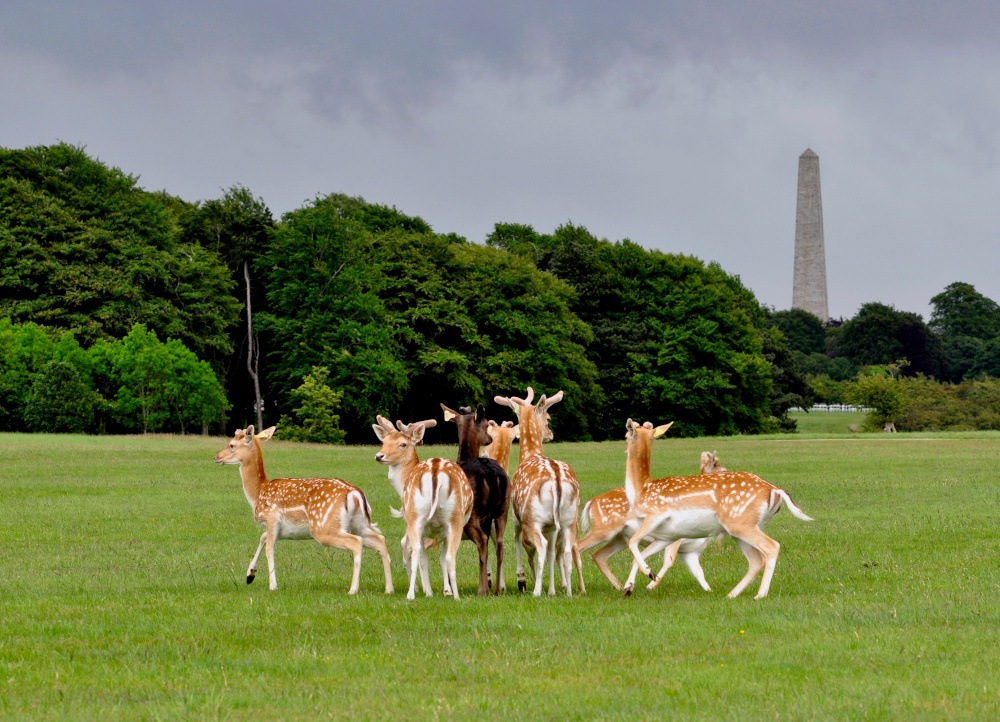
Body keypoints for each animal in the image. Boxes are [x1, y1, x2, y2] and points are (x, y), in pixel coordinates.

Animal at [213, 422, 392, 592]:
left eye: (231, 445)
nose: (216, 457)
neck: (258, 493)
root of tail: (355, 493)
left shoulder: (271, 518)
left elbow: (269, 549)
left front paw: (273, 586)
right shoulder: (278, 528)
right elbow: (262, 538)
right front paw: (250, 575)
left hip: (324, 527)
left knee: (356, 543)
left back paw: (353, 589)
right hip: (359, 524)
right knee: (380, 540)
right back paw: (389, 588)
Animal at [374, 414, 474, 600]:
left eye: (402, 444)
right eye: (383, 441)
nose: (379, 455)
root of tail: (435, 470)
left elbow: (418, 556)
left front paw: (428, 591)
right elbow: (439, 558)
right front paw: (445, 591)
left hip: (418, 517)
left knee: (415, 552)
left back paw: (412, 594)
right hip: (452, 519)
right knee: (449, 556)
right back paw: (455, 596)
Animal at [442, 402, 512, 592]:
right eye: (487, 424)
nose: (490, 438)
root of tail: (491, 474)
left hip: (472, 514)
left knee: (482, 542)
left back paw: (483, 590)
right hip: (503, 509)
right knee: (500, 544)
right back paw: (497, 589)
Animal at [490, 388, 584, 596]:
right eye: (548, 418)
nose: (550, 433)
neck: (530, 454)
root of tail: (556, 481)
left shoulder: (517, 517)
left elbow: (516, 539)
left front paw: (523, 580)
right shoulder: (552, 526)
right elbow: (552, 554)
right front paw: (553, 590)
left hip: (533, 518)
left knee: (541, 546)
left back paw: (536, 591)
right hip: (569, 520)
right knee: (566, 551)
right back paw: (569, 592)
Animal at [620, 416, 816, 596]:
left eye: (626, 434)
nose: (624, 447)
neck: (641, 490)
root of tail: (775, 490)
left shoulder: (656, 514)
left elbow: (633, 542)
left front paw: (648, 574)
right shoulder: (666, 536)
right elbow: (638, 555)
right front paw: (629, 587)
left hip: (740, 522)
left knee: (772, 547)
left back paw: (759, 595)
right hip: (744, 527)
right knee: (755, 560)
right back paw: (732, 594)